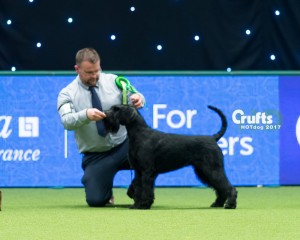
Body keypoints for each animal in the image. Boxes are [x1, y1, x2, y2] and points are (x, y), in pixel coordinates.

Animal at [104, 104, 238, 209]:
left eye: (116, 109)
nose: (105, 113)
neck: (139, 133)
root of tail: (213, 138)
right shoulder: (138, 171)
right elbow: (138, 187)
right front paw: (136, 205)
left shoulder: (147, 171)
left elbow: (146, 188)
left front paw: (144, 205)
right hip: (204, 171)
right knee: (220, 188)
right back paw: (218, 204)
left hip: (211, 169)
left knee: (227, 186)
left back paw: (230, 205)